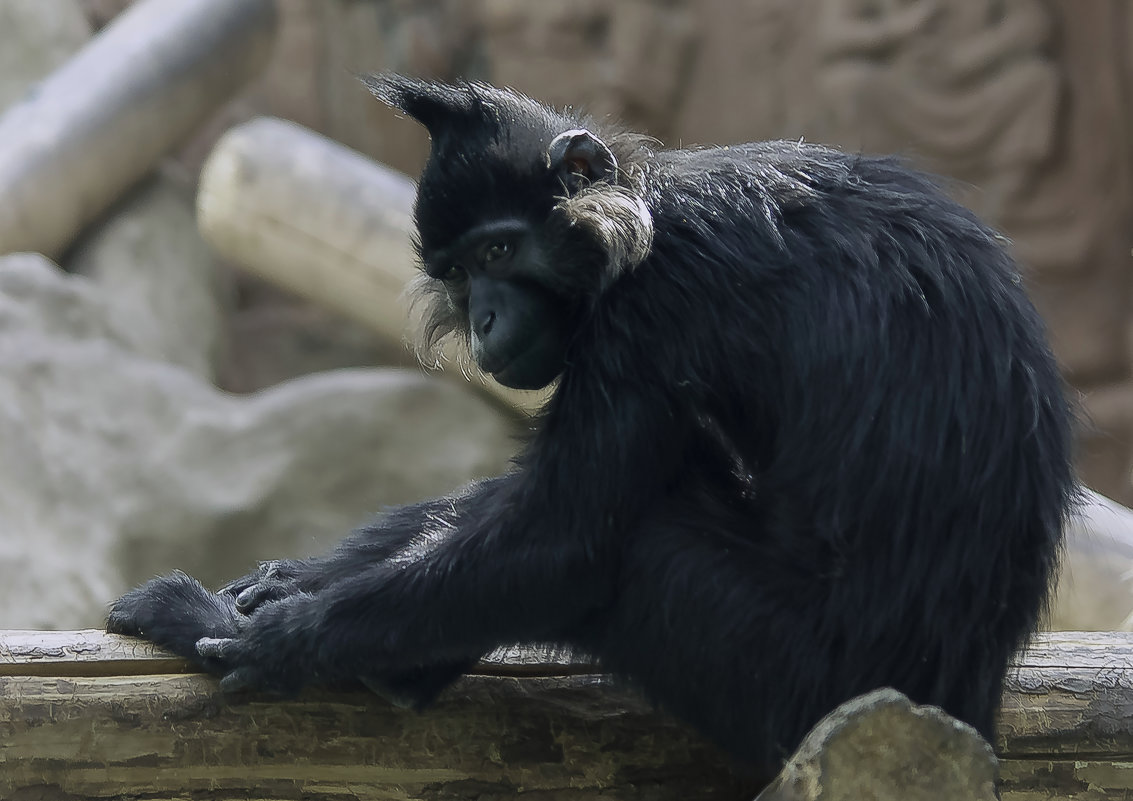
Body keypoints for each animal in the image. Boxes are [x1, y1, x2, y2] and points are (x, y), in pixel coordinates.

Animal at [110, 75, 1074, 774]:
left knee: (631, 542)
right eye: (457, 274)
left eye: (500, 253)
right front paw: (285, 581)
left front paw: (271, 637)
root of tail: (962, 695)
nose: (484, 318)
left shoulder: (651, 307)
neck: (649, 211)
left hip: (792, 678)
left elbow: (563, 537)